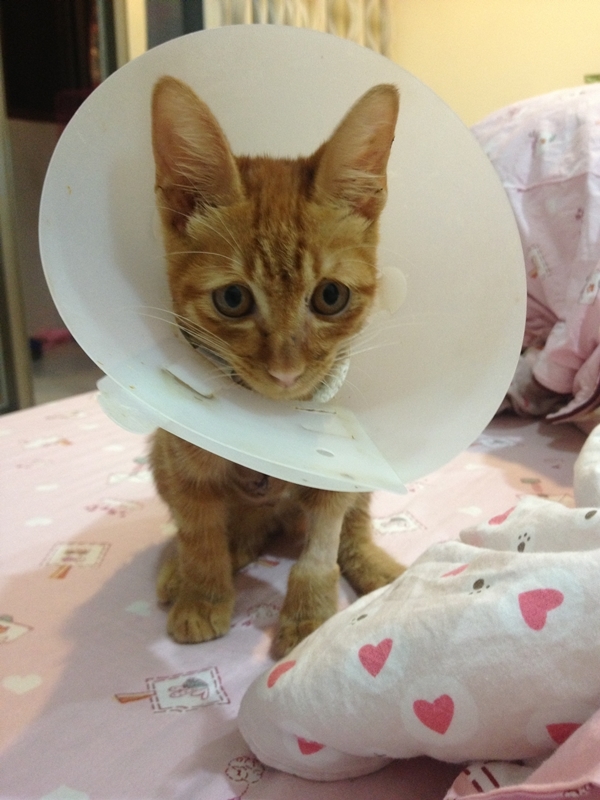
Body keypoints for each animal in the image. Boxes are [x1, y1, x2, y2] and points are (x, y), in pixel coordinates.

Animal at [150, 75, 404, 657]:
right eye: (233, 300)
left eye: (331, 296)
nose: (286, 372)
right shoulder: (184, 463)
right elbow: (198, 531)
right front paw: (202, 595)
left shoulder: (333, 472)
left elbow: (322, 545)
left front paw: (309, 617)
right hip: (156, 450)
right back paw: (189, 566)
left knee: (355, 521)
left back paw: (373, 563)